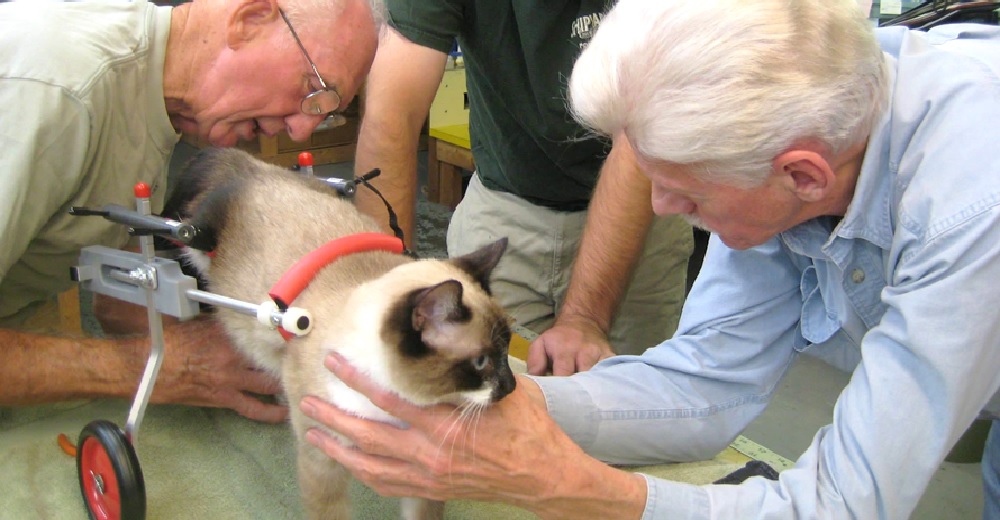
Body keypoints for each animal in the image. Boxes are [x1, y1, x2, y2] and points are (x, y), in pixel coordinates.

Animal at [163, 147, 516, 520]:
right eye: (481, 362)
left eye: (507, 350)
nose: (511, 386)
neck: (390, 410)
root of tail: (245, 167)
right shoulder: (322, 458)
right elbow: (329, 510)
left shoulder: (422, 475)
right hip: (193, 247)